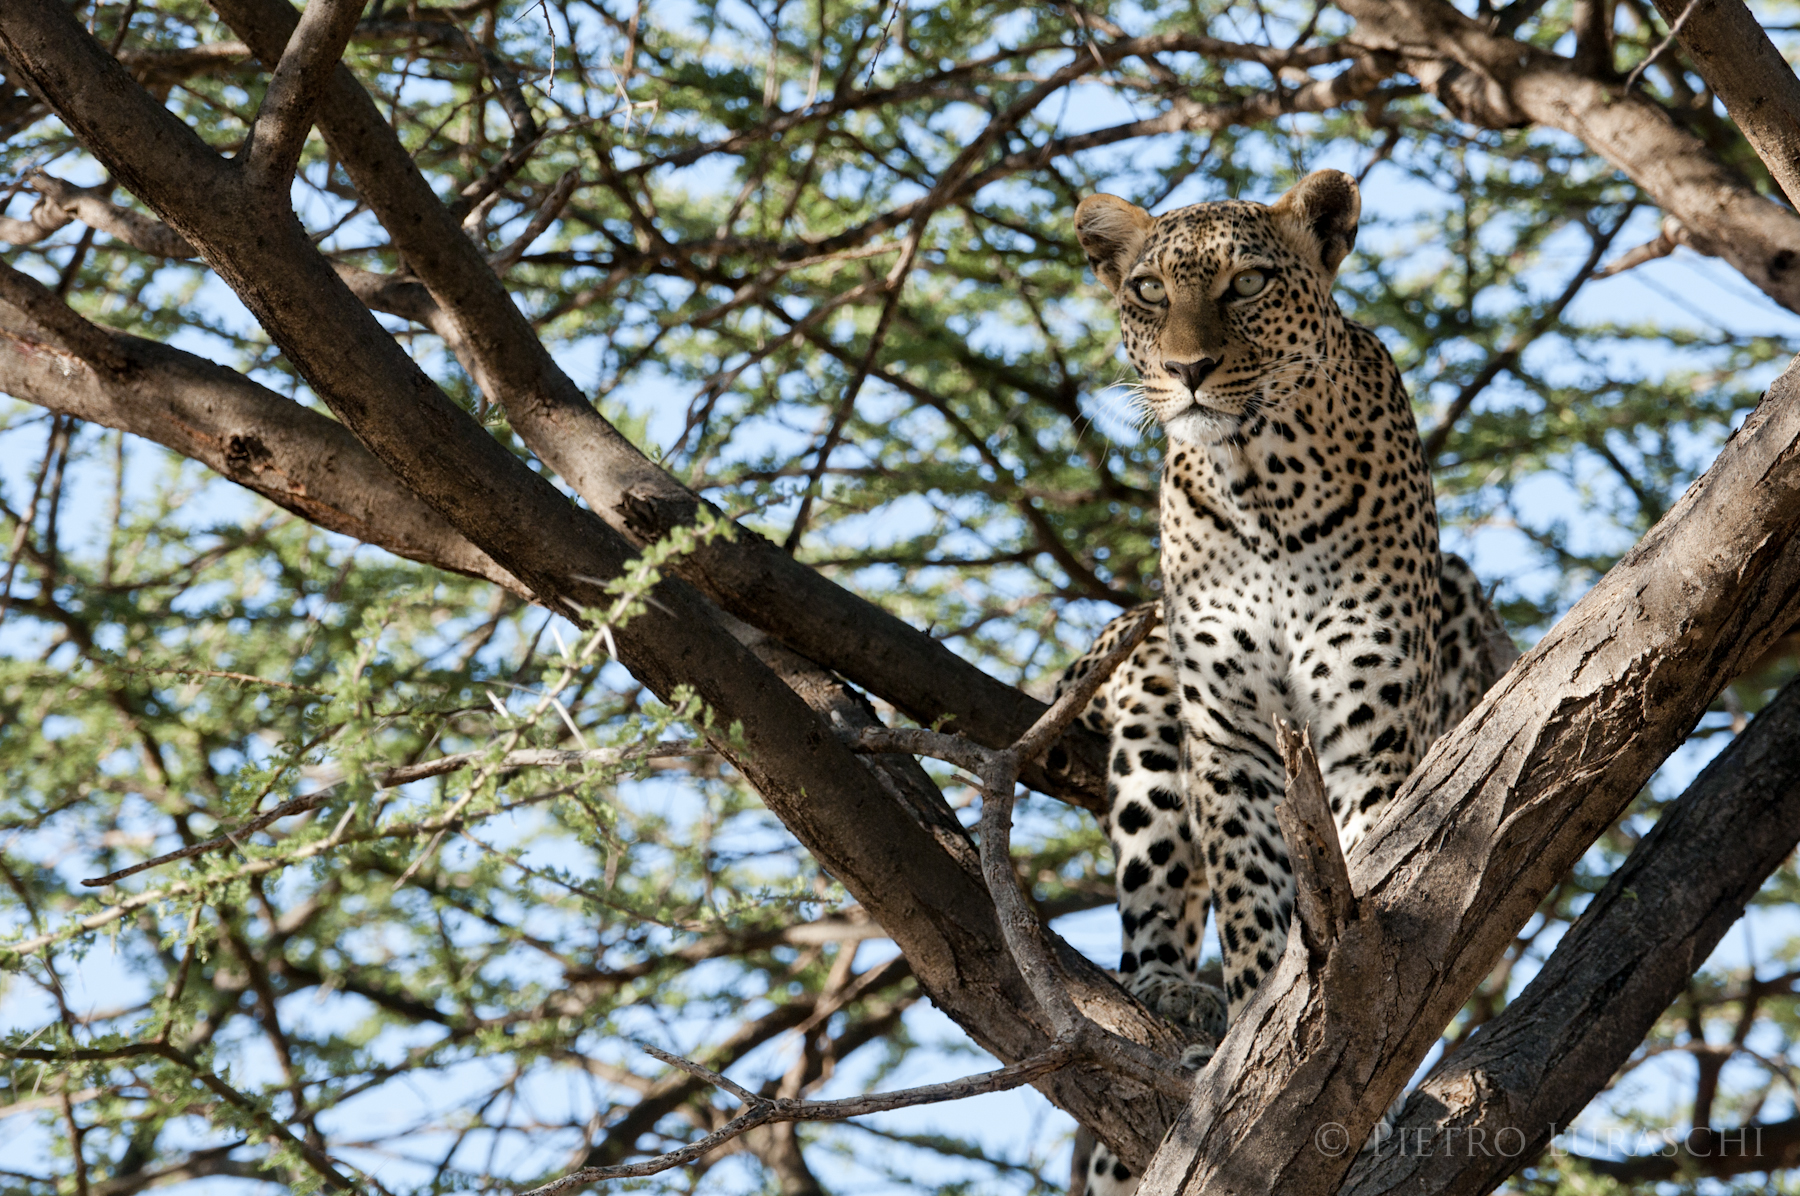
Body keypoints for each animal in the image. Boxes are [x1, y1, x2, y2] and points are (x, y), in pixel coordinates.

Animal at [1056, 171, 1516, 1196]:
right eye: (1149, 291)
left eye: (1249, 285)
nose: (1187, 369)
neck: (1261, 479)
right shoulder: (1228, 730)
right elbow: (1248, 898)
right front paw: (1252, 1039)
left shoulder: (1366, 720)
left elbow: (1367, 865)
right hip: (1151, 699)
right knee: (1154, 890)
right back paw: (1173, 995)